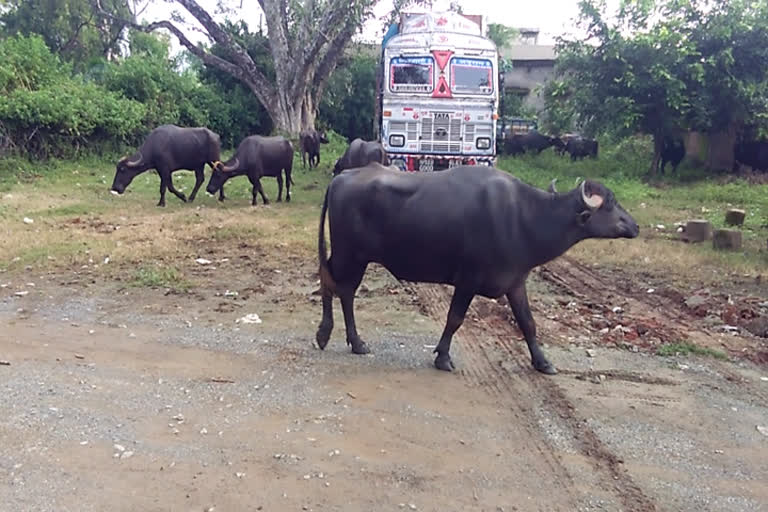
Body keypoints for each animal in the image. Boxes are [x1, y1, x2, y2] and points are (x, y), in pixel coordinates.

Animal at [316, 165, 640, 376]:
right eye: (610, 204)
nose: (635, 226)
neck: (524, 217)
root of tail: (342, 176)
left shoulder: (515, 281)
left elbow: (528, 323)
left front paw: (543, 362)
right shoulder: (468, 279)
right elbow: (455, 318)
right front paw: (443, 357)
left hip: (354, 257)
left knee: (339, 287)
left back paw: (351, 341)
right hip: (350, 255)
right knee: (335, 285)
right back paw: (333, 336)